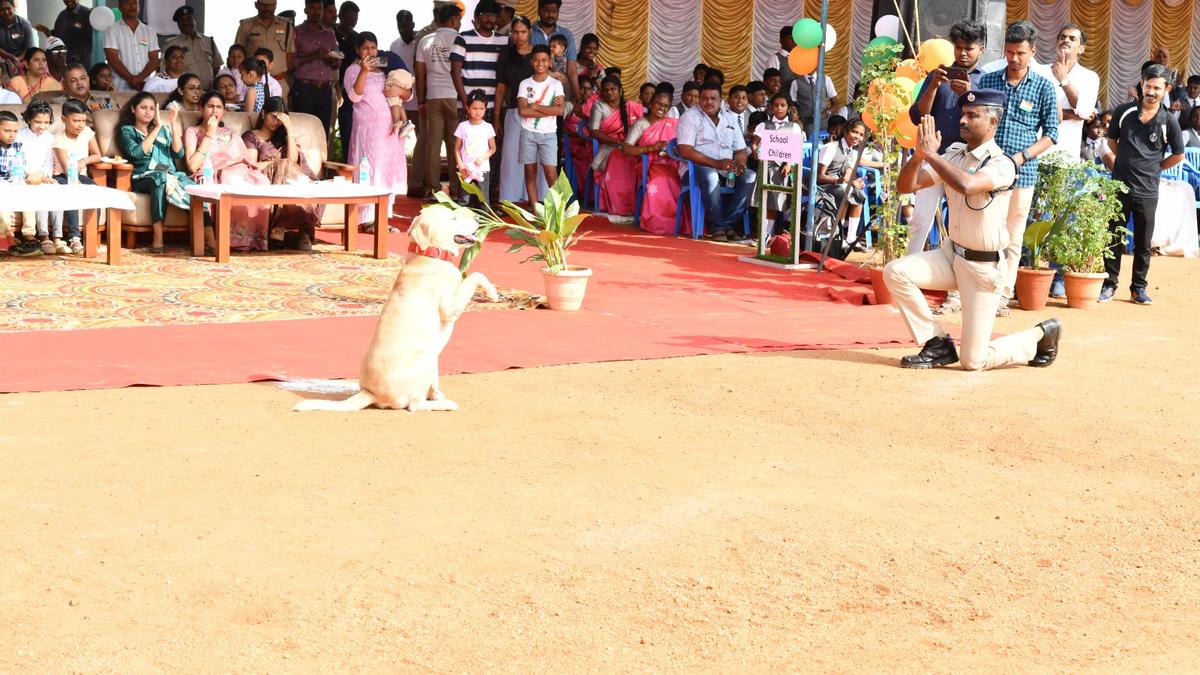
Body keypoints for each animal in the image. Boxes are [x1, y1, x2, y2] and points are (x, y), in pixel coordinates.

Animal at [294, 206, 496, 410]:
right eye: (453, 217)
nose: (478, 216)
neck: (428, 256)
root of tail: (370, 393)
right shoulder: (450, 307)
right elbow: (476, 275)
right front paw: (493, 293)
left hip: (433, 359)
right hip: (424, 359)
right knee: (415, 405)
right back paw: (447, 404)